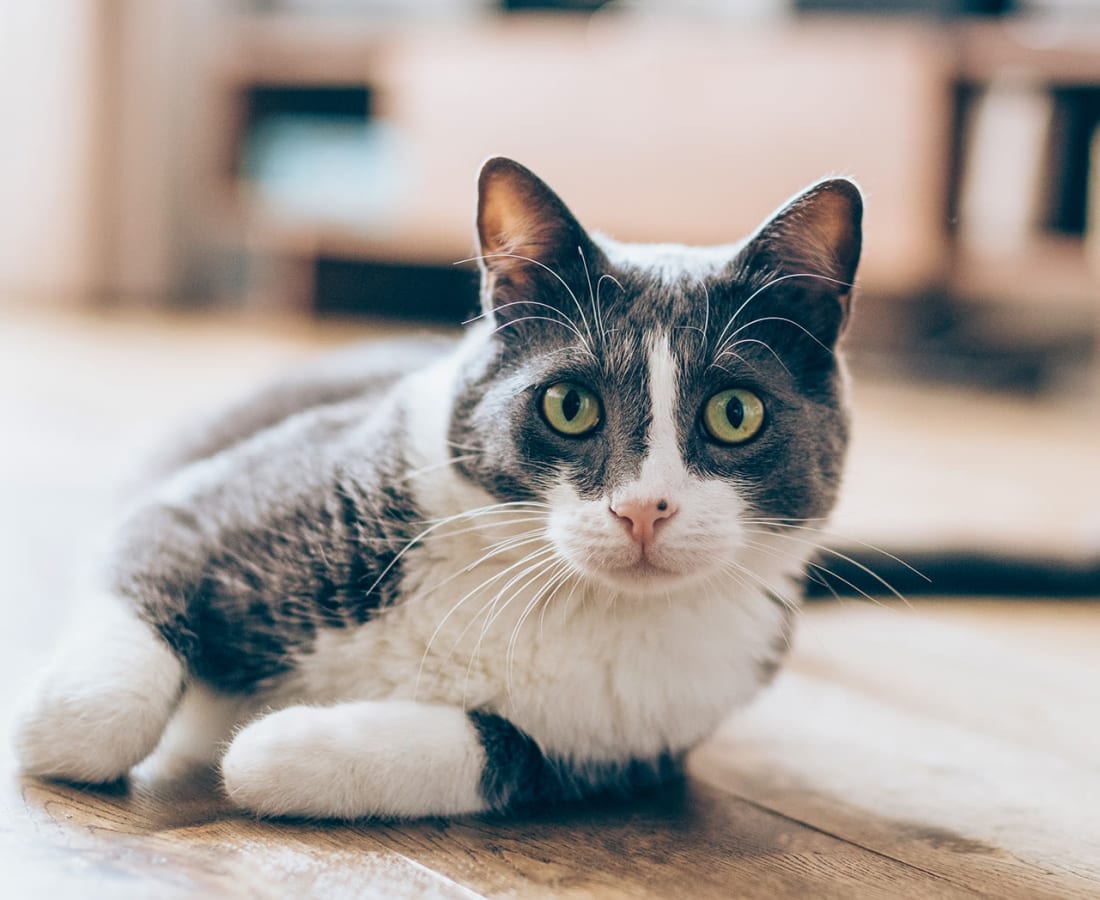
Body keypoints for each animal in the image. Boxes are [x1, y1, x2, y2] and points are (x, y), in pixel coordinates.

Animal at [12, 156, 862, 818]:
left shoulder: (631, 745)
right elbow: (104, 690)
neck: (558, 593)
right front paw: (44, 726)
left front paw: (280, 747)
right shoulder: (200, 504)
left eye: (734, 413)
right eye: (569, 404)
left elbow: (495, 750)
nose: (643, 509)